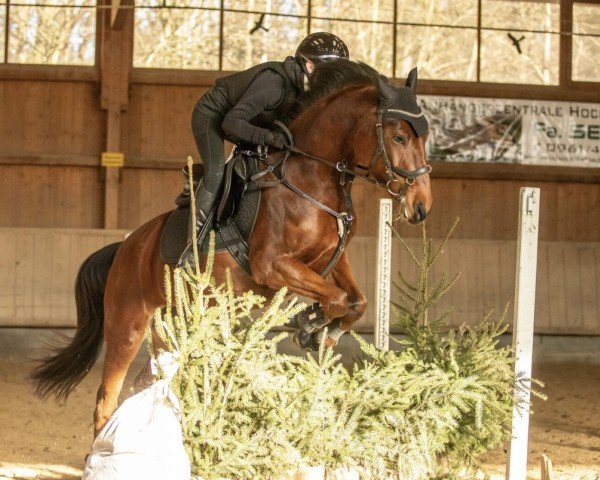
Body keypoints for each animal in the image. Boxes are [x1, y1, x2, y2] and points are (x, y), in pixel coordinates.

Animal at [30, 60, 434, 436]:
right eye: (399, 137)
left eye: (424, 137)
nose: (421, 207)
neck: (312, 177)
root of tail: (125, 248)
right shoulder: (272, 266)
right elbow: (336, 299)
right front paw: (309, 324)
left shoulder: (331, 258)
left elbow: (356, 302)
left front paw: (322, 331)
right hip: (127, 324)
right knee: (107, 398)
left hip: (172, 328)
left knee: (146, 384)